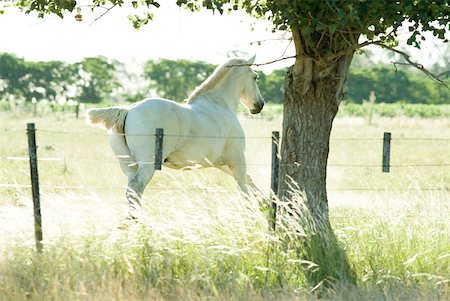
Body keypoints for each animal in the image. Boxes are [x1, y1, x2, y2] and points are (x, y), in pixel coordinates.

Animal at [86, 55, 264, 217]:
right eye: (255, 77)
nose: (259, 105)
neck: (219, 104)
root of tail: (128, 110)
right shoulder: (237, 159)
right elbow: (243, 187)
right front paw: (253, 215)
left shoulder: (220, 162)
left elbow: (248, 180)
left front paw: (265, 203)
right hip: (147, 165)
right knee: (137, 187)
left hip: (129, 166)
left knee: (131, 190)